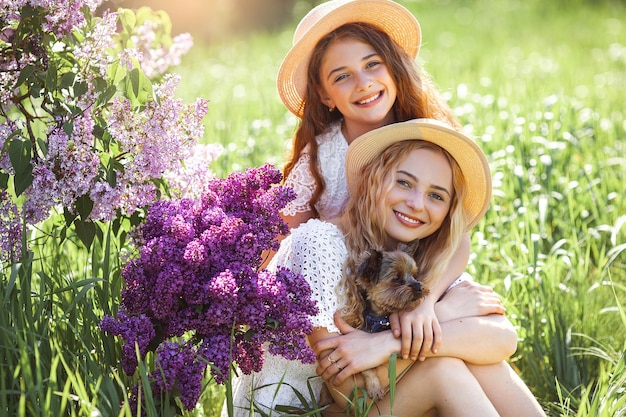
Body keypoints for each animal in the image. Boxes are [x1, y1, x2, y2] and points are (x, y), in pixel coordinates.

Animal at [320, 242, 426, 402]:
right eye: (397, 279)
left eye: (414, 275)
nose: (420, 287)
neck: (382, 320)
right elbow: (368, 369)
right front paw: (374, 388)